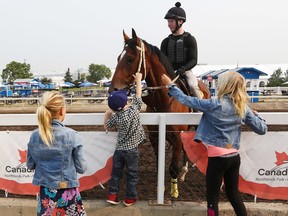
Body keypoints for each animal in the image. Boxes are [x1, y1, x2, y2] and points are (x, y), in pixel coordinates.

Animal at [109, 29, 210, 199]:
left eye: (130, 59)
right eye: (118, 58)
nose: (113, 89)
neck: (164, 100)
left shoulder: (177, 138)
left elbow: (172, 167)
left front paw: (174, 192)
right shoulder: (155, 137)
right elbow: (159, 164)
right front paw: (161, 188)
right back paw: (184, 172)